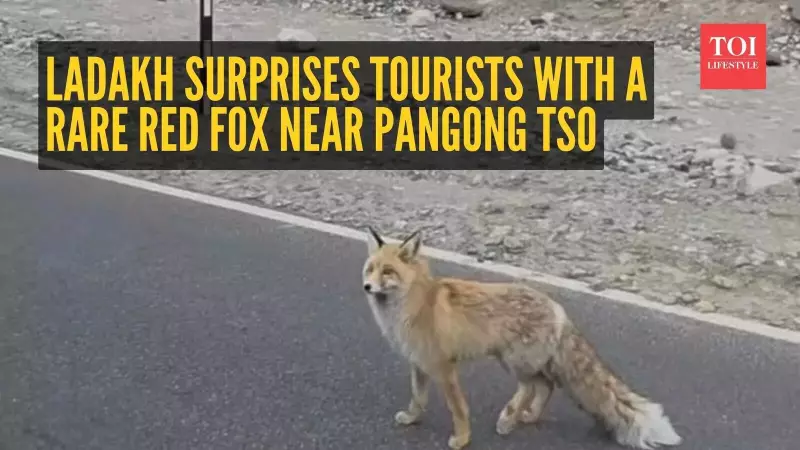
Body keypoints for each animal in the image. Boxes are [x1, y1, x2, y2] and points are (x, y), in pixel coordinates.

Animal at [360, 227, 683, 450]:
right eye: (370, 269)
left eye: (387, 272)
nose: (366, 287)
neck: (413, 307)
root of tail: (557, 308)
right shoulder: (419, 364)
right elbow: (418, 399)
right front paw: (412, 419)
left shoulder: (444, 366)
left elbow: (458, 409)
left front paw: (462, 439)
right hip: (524, 362)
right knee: (547, 386)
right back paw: (525, 417)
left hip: (512, 361)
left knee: (530, 387)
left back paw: (508, 418)